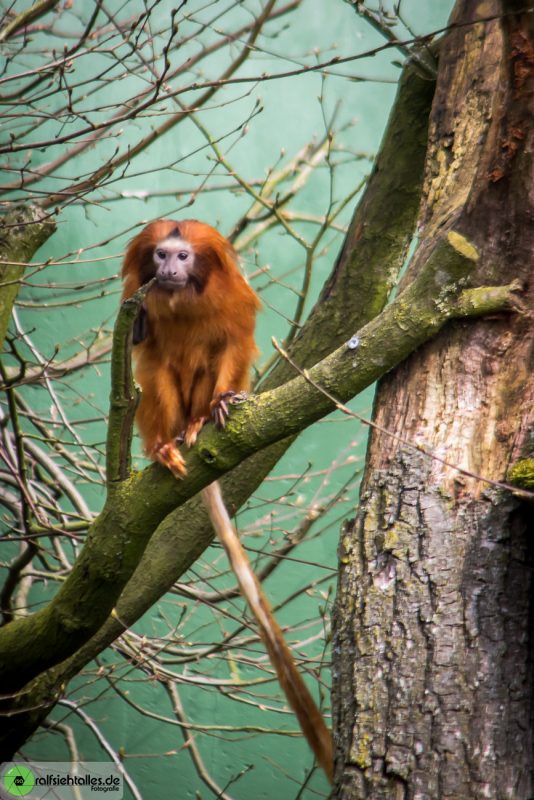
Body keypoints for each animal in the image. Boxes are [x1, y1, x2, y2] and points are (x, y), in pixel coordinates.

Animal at [122, 219, 336, 780]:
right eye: (160, 255)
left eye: (183, 256)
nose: (169, 269)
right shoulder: (139, 299)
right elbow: (146, 351)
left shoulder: (234, 305)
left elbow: (233, 344)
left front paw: (222, 403)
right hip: (163, 408)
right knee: (157, 374)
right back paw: (169, 444)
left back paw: (202, 420)